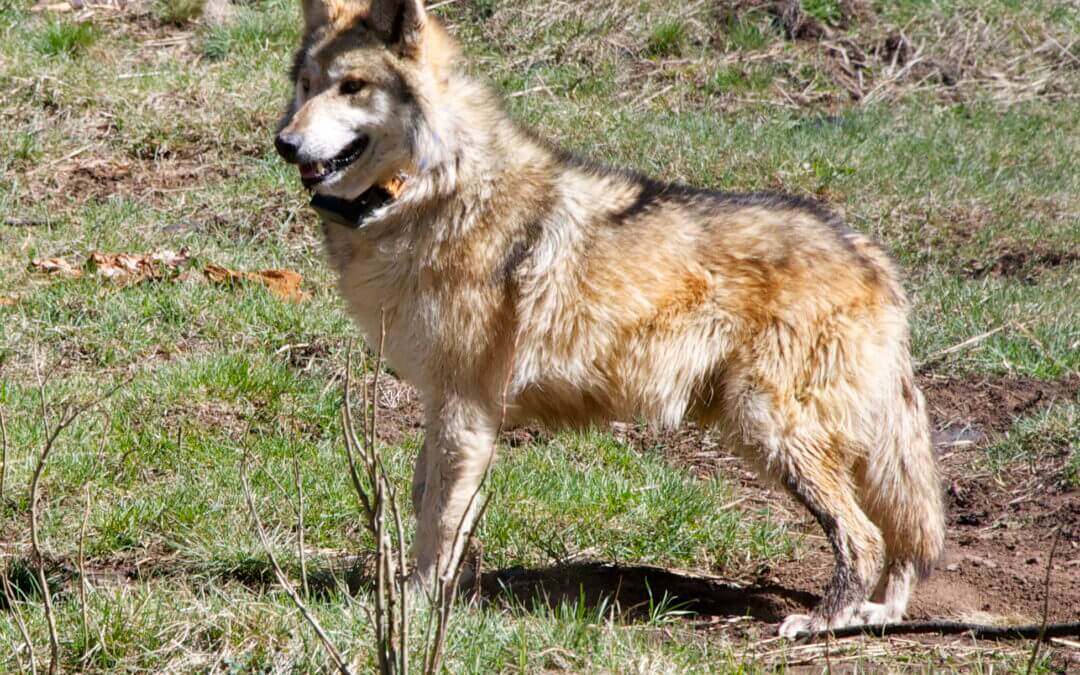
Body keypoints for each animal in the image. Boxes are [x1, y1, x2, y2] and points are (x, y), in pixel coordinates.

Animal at [274, 0, 945, 637]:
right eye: (307, 85)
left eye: (352, 86)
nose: (284, 142)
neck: (430, 188)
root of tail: (873, 256)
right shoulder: (446, 402)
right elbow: (426, 502)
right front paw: (440, 592)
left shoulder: (467, 405)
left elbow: (439, 518)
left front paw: (414, 607)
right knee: (900, 538)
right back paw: (874, 615)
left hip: (769, 427)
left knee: (866, 536)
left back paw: (824, 622)